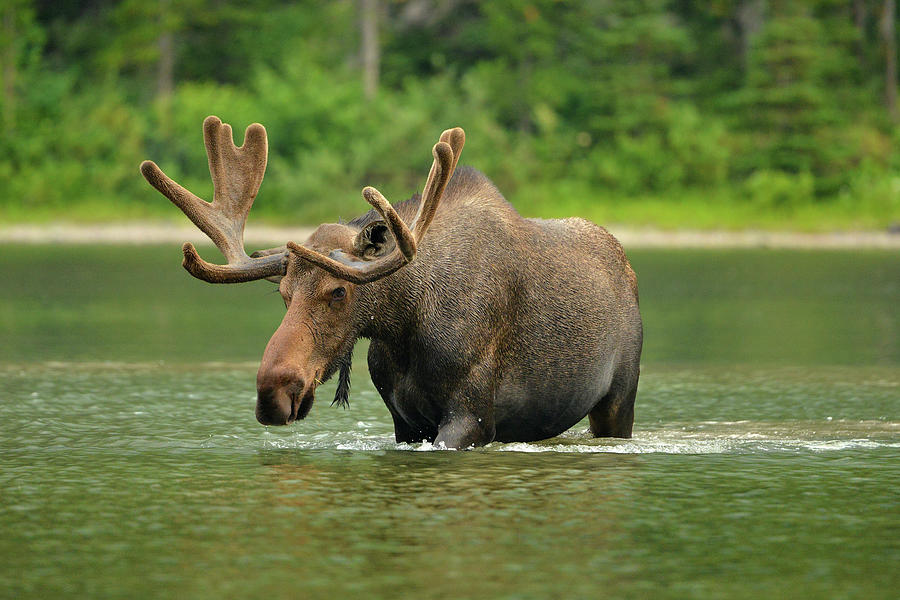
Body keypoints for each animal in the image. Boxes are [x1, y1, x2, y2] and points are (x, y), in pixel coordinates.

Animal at [141, 115, 644, 448]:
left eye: (338, 291)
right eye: (283, 295)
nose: (273, 392)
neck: (405, 327)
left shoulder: (473, 417)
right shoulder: (404, 423)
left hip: (620, 396)